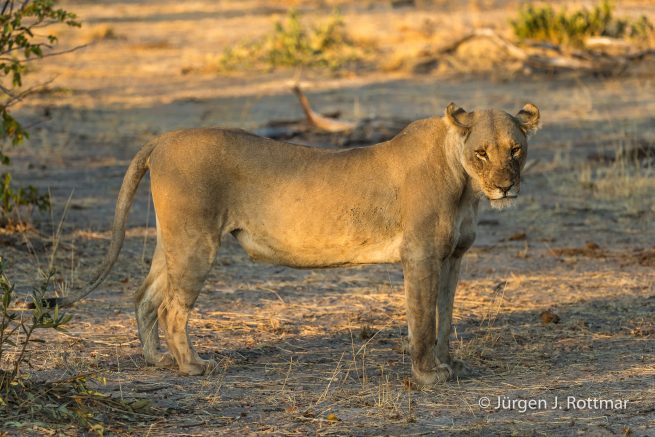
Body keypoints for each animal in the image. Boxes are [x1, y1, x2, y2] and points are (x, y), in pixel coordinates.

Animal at [42, 102, 540, 385]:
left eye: (515, 149)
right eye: (482, 152)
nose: (505, 186)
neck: (465, 184)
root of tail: (164, 138)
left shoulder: (453, 257)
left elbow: (447, 317)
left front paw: (451, 366)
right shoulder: (419, 256)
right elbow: (423, 320)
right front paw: (426, 376)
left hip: (174, 240)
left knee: (144, 295)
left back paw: (155, 361)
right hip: (195, 240)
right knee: (171, 308)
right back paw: (192, 367)